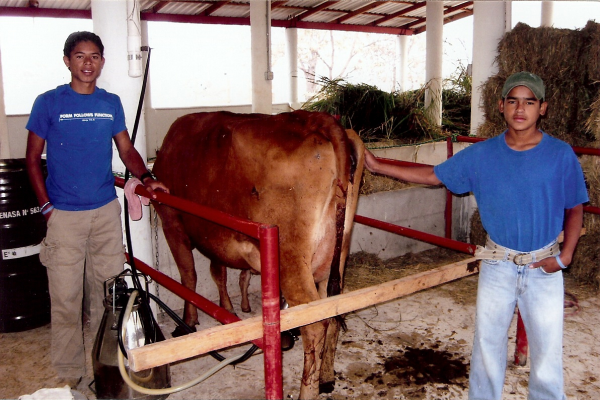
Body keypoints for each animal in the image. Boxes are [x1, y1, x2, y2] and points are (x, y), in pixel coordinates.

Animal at [152, 110, 364, 400]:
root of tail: (318, 119)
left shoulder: (171, 222)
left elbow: (188, 276)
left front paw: (188, 321)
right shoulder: (214, 236)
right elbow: (217, 272)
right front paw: (227, 308)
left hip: (292, 261)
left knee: (313, 325)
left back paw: (307, 391)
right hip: (337, 256)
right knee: (333, 311)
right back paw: (326, 378)